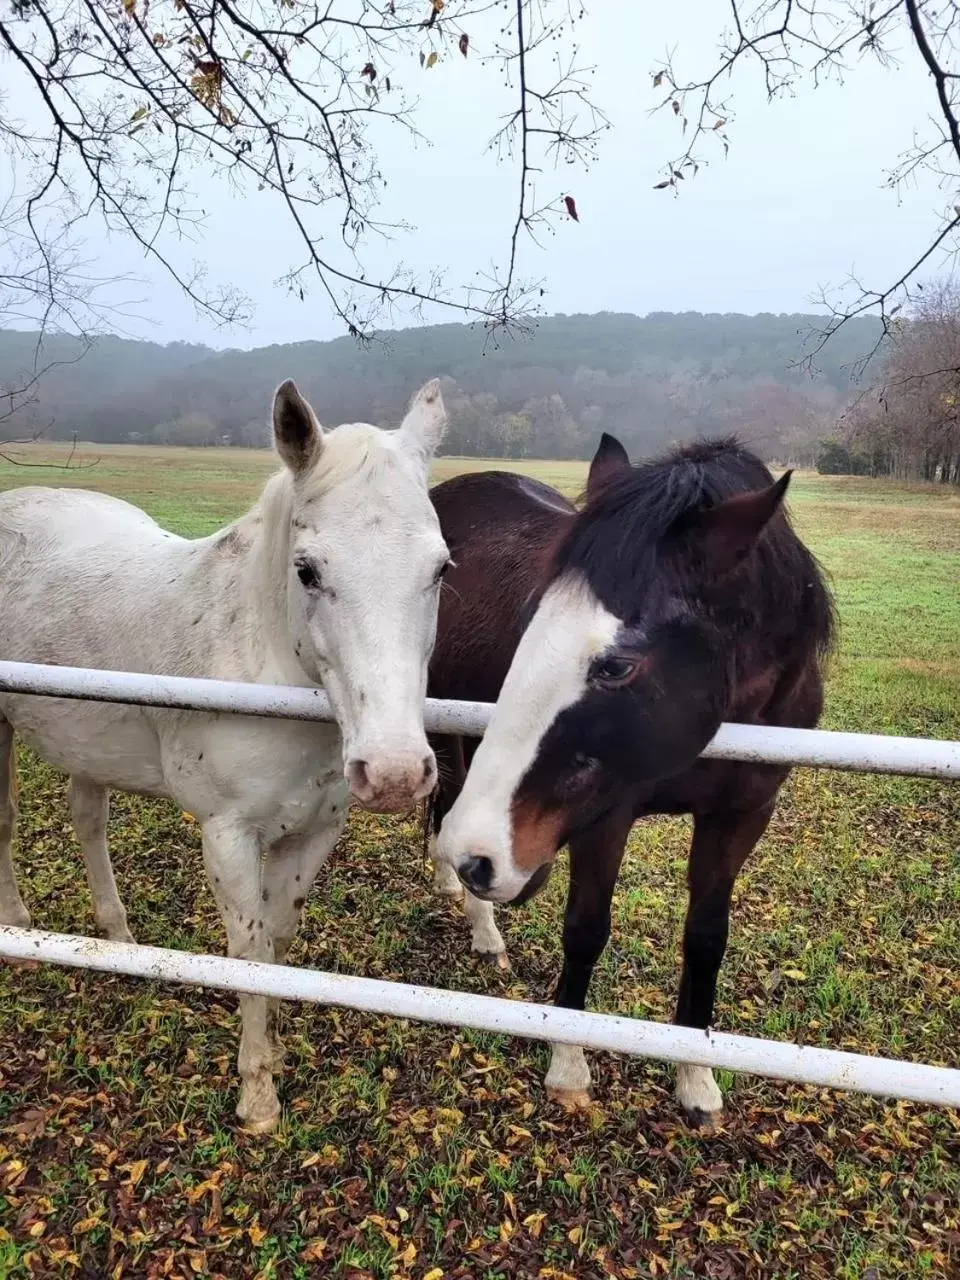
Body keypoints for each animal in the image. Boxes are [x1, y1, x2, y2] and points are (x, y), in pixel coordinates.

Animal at [0, 376, 450, 1131]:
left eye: (442, 568)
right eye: (307, 570)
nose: (392, 773)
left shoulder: (314, 830)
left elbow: (280, 938)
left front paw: (277, 1051)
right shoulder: (228, 835)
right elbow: (248, 950)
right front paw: (257, 1092)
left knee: (88, 819)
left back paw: (118, 940)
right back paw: (20, 931)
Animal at [427, 435, 834, 1126]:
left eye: (616, 666)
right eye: (530, 625)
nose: (479, 858)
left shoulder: (741, 817)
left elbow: (706, 939)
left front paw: (696, 1079)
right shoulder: (604, 819)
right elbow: (586, 930)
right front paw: (569, 1067)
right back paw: (479, 920)